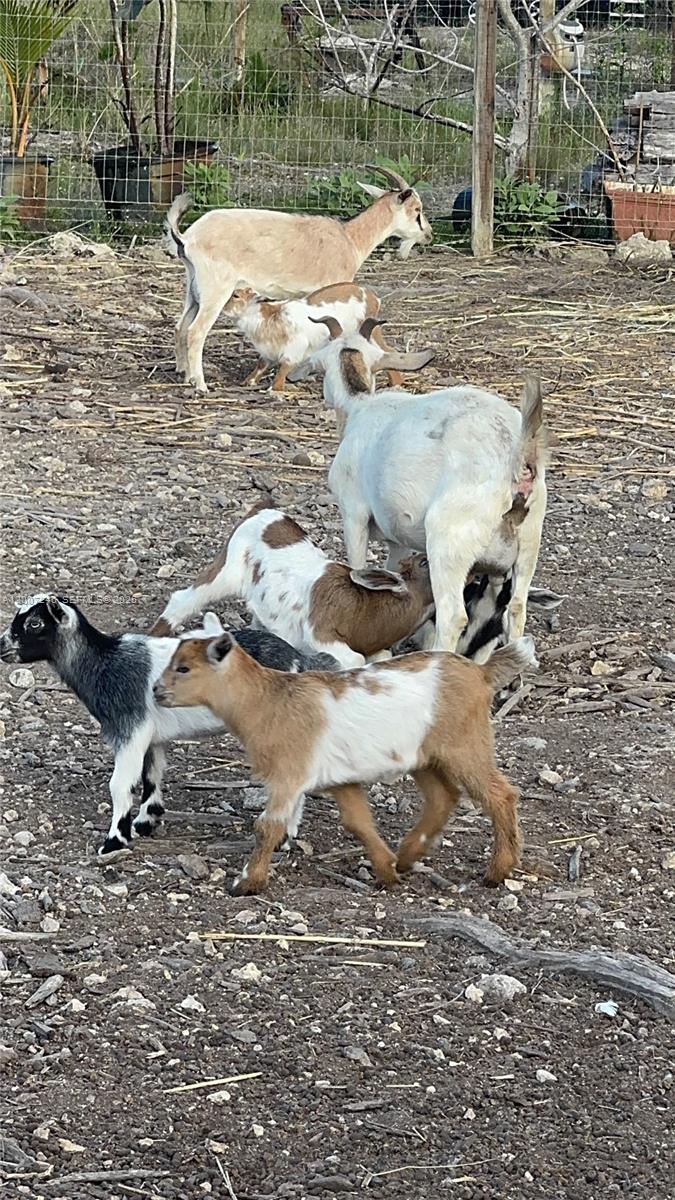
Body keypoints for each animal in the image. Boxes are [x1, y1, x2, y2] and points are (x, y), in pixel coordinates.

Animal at [0, 596, 338, 861]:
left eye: (34, 624)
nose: (2, 645)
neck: (104, 662)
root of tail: (299, 660)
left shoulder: (130, 729)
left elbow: (120, 786)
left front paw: (114, 841)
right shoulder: (150, 737)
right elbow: (151, 776)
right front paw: (145, 822)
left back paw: (284, 837)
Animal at [151, 504, 435, 670]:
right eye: (424, 562)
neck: (363, 609)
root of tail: (264, 511)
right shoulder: (321, 633)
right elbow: (353, 659)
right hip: (227, 571)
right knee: (184, 599)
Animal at [155, 632, 538, 894]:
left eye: (184, 668)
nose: (157, 692)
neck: (268, 702)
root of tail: (481, 672)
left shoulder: (288, 774)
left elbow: (267, 827)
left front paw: (246, 883)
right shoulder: (340, 780)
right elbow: (358, 823)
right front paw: (386, 872)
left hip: (465, 745)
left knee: (499, 795)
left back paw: (498, 871)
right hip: (425, 757)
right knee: (442, 798)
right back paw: (406, 856)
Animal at [223, 282, 404, 393]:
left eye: (236, 296)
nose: (223, 309)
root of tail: (373, 297)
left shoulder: (294, 348)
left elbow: (284, 367)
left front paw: (275, 389)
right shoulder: (267, 353)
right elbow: (261, 366)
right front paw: (248, 382)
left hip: (370, 332)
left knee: (387, 350)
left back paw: (396, 384)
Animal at [288, 317, 549, 653]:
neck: (359, 406)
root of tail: (517, 455)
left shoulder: (353, 513)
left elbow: (356, 566)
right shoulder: (396, 535)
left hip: (449, 541)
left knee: (453, 616)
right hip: (529, 543)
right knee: (516, 608)